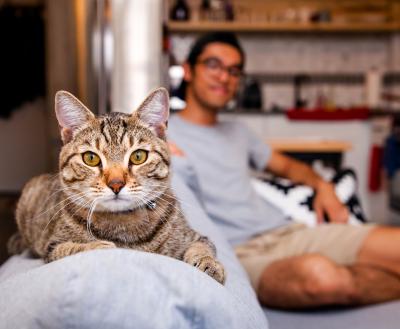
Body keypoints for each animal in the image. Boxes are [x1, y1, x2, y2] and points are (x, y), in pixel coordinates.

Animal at [7, 88, 225, 284]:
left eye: (138, 156)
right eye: (91, 158)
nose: (116, 184)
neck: (124, 223)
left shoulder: (196, 237)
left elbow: (202, 248)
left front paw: (209, 263)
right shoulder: (52, 247)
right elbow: (73, 248)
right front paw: (99, 247)